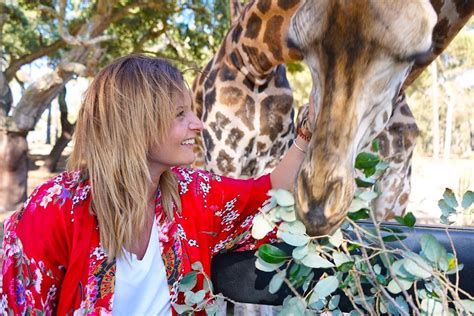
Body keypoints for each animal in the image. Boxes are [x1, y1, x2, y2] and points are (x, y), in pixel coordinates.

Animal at [193, 0, 474, 235]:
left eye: (416, 53)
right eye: (298, 46)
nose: (317, 209)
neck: (252, 64)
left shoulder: (395, 188)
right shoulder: (224, 156)